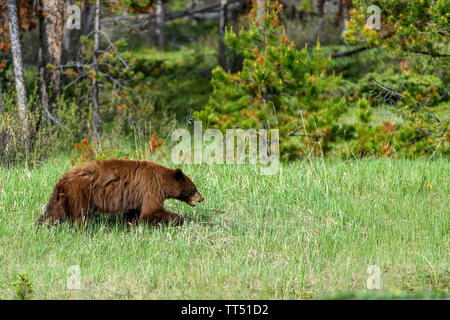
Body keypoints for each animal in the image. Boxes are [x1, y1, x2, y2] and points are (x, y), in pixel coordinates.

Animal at [38, 159, 204, 228]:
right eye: (194, 189)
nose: (202, 198)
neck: (162, 180)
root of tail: (63, 179)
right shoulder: (151, 188)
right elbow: (152, 210)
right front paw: (178, 219)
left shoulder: (136, 196)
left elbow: (134, 214)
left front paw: (131, 227)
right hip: (80, 193)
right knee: (80, 215)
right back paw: (83, 230)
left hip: (62, 197)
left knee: (52, 213)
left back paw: (41, 226)